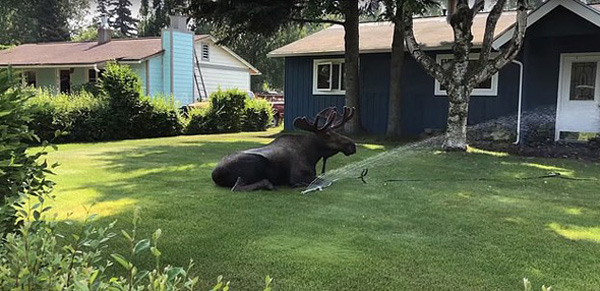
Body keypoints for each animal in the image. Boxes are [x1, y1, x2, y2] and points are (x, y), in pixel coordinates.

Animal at [212, 107, 356, 192]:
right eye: (327, 134)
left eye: (335, 131)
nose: (352, 145)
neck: (313, 155)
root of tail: (215, 174)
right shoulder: (297, 176)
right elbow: (325, 180)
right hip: (256, 161)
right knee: (237, 187)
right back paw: (268, 184)